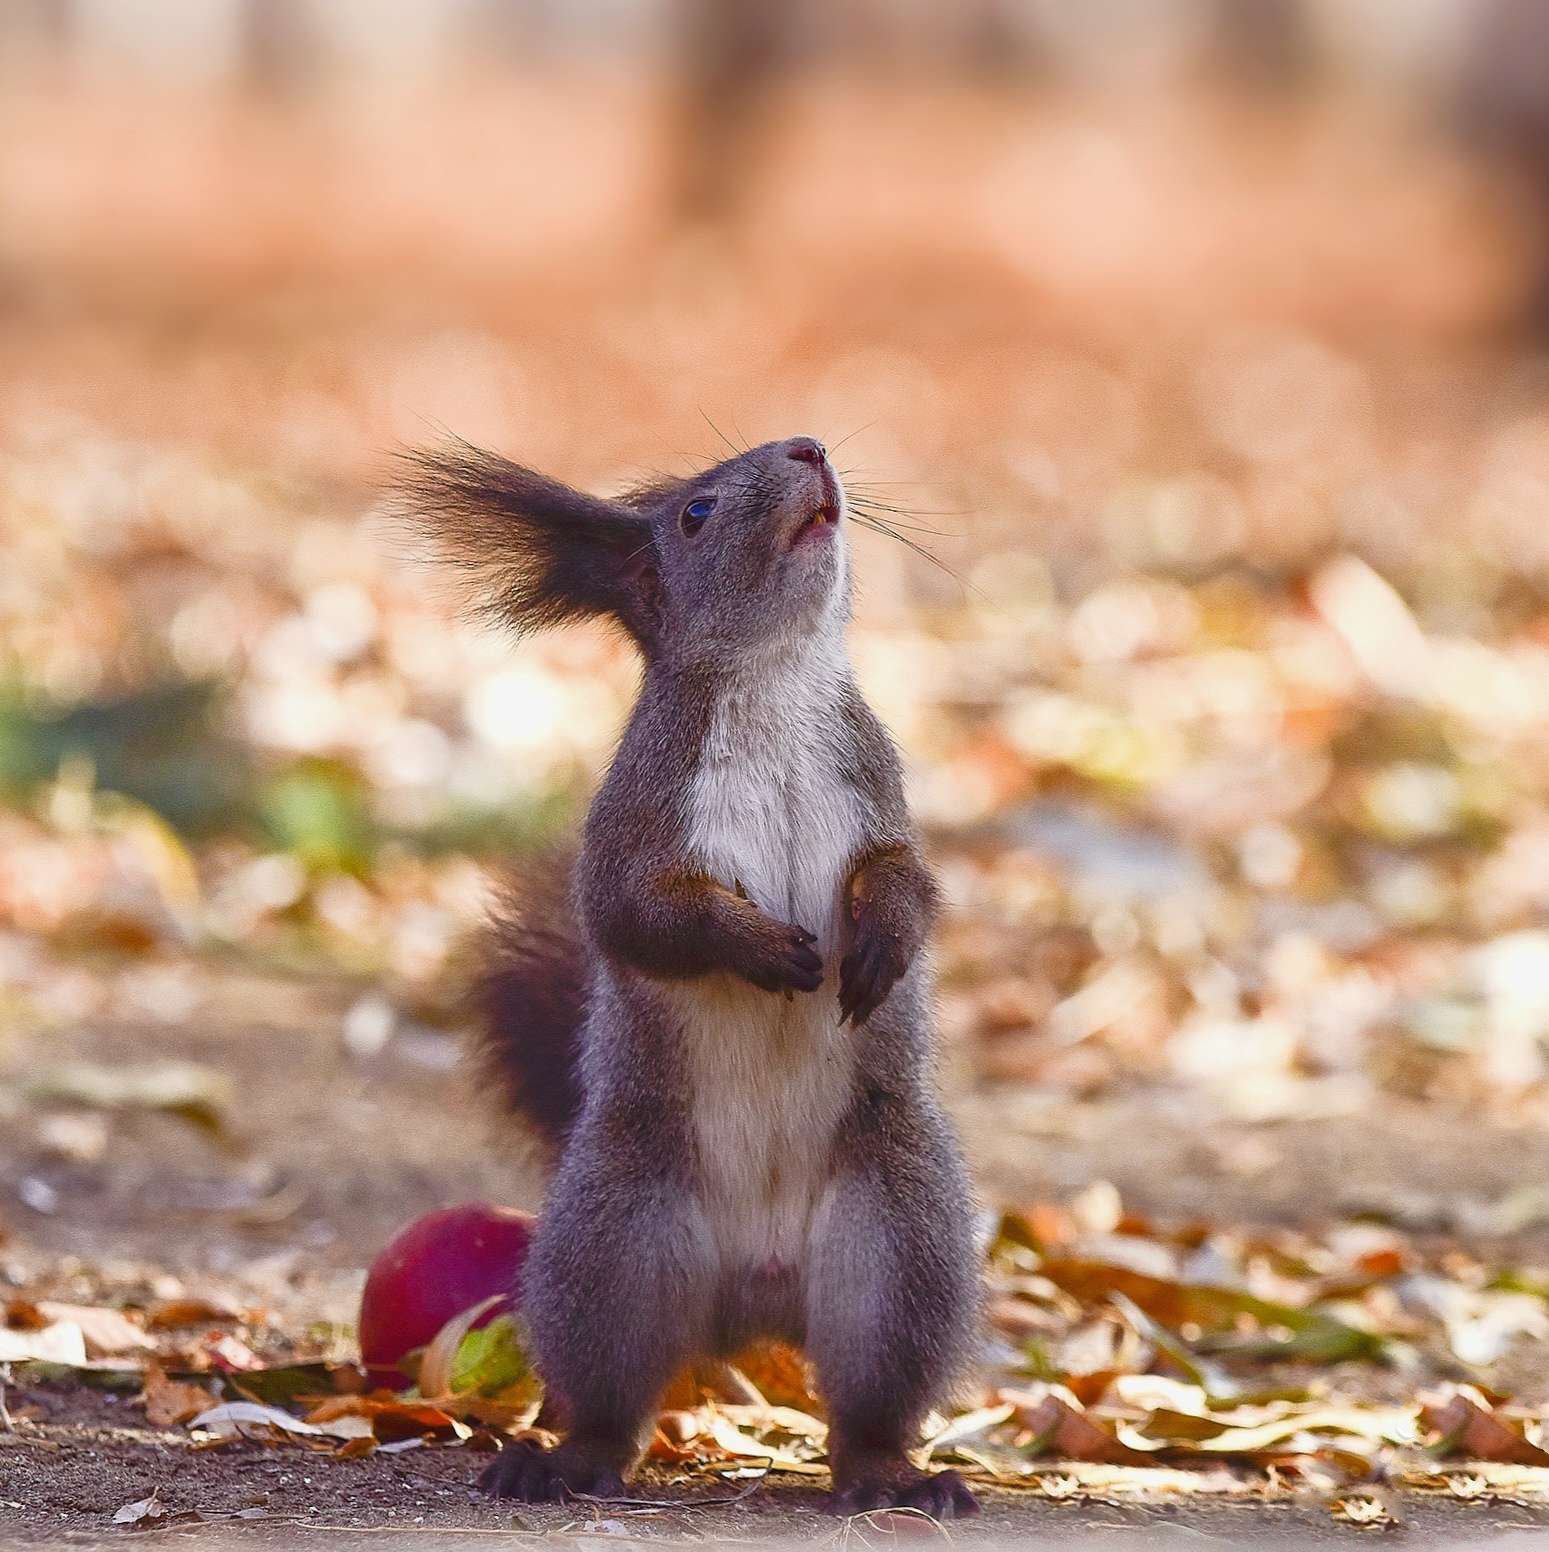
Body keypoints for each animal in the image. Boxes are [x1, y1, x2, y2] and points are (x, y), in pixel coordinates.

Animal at [400, 434, 980, 1514]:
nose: (809, 446)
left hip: (894, 1248)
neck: (776, 682)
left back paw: (891, 1475)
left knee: (869, 1397)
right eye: (696, 515)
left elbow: (906, 878)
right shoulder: (639, 817)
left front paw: (881, 940)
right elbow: (641, 917)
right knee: (607, 1390)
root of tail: (752, 1304)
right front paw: (758, 946)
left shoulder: (876, 787)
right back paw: (565, 1461)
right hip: (621, 1243)